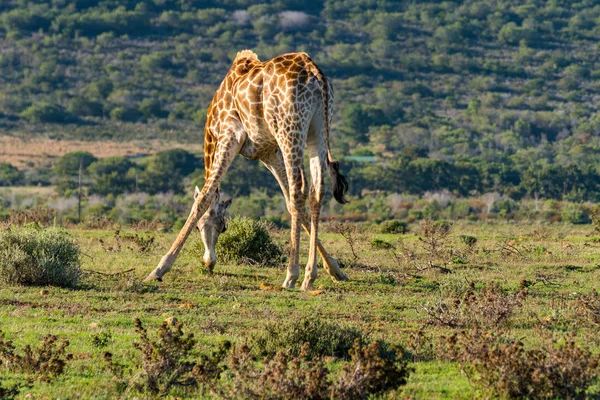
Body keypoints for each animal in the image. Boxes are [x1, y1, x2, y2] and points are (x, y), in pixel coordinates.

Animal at [145, 50, 350, 290]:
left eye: (223, 228)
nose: (209, 264)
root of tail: (315, 73)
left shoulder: (230, 135)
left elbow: (204, 197)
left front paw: (159, 269)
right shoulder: (267, 152)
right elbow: (288, 202)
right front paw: (335, 269)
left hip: (290, 128)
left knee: (299, 189)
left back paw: (291, 275)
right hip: (317, 128)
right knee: (315, 191)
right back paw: (309, 276)